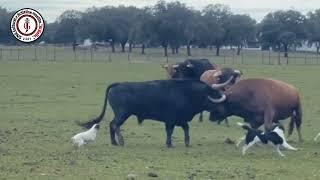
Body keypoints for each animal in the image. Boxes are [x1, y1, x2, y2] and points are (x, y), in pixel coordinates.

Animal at [80, 79, 230, 147]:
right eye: (215, 95)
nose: (224, 112)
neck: (188, 93)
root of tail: (118, 84)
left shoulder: (181, 119)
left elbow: (186, 129)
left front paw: (187, 143)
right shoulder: (171, 120)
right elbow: (170, 131)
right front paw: (169, 144)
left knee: (112, 125)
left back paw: (114, 142)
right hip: (122, 114)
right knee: (114, 125)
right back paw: (120, 141)